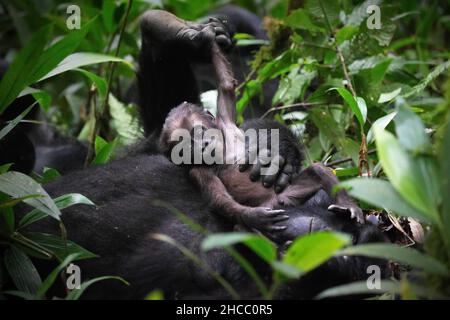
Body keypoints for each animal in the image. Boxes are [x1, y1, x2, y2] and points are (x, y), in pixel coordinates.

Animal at [160, 41, 364, 239]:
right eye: (186, 147)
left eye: (199, 132)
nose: (202, 146)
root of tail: (283, 202)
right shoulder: (198, 172)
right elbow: (218, 197)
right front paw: (253, 217)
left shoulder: (226, 122)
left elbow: (226, 87)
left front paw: (208, 39)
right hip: (275, 204)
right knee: (243, 227)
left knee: (317, 171)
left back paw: (347, 206)